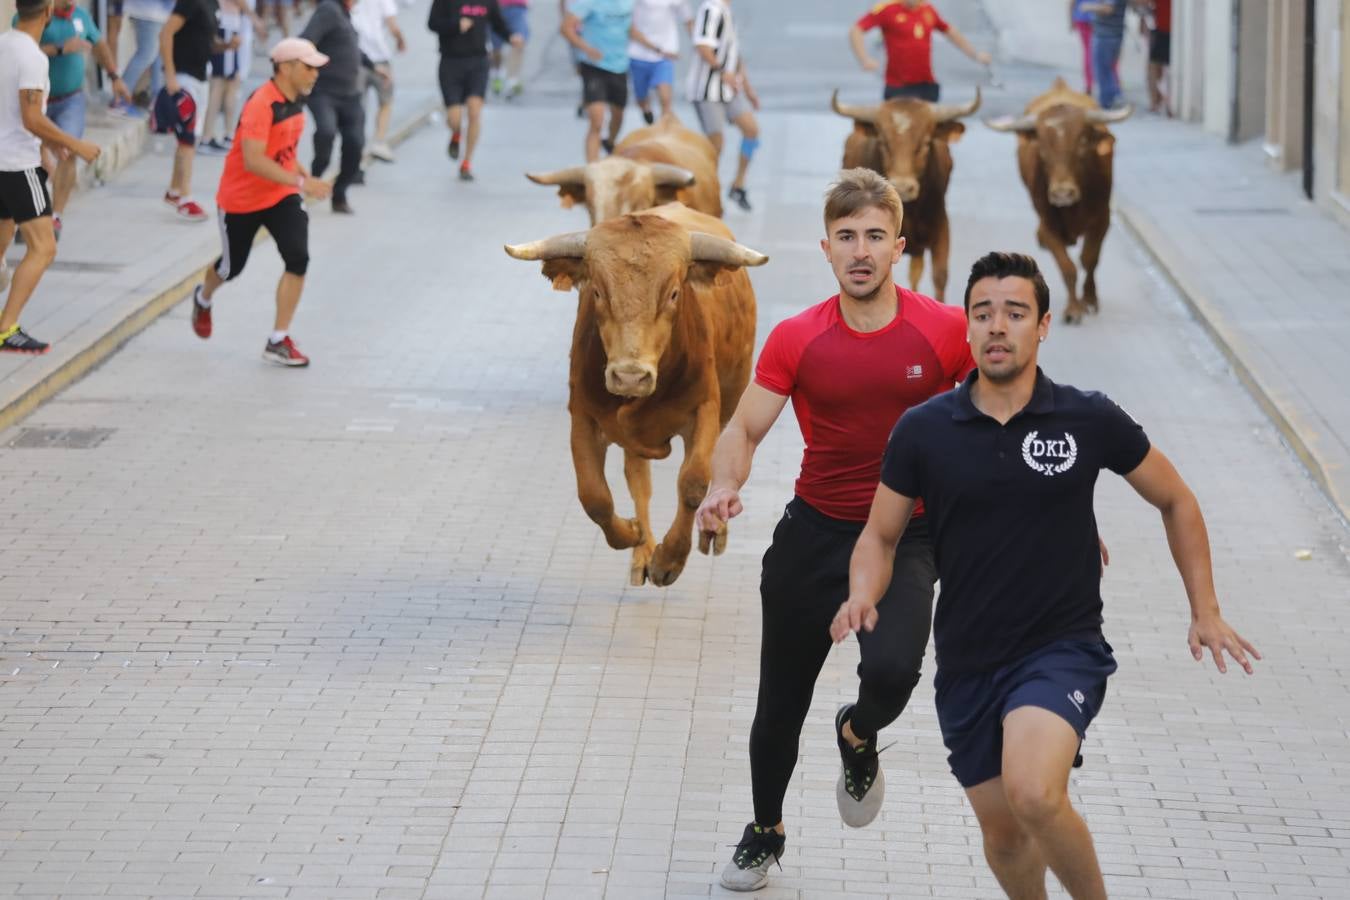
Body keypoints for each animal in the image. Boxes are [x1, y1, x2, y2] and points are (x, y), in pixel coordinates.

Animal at [507, 202, 766, 591]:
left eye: (673, 293)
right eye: (597, 292)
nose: (630, 376)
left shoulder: (705, 409)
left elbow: (694, 482)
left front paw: (669, 560)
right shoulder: (583, 417)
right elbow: (594, 496)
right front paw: (632, 533)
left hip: (732, 402)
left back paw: (712, 529)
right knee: (638, 479)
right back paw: (642, 550)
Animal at [988, 77, 1134, 323]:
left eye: (1082, 142)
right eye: (1042, 147)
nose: (1062, 193)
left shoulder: (1102, 219)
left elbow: (1089, 259)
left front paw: (1089, 300)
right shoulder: (1048, 223)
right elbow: (1068, 267)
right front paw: (1073, 309)